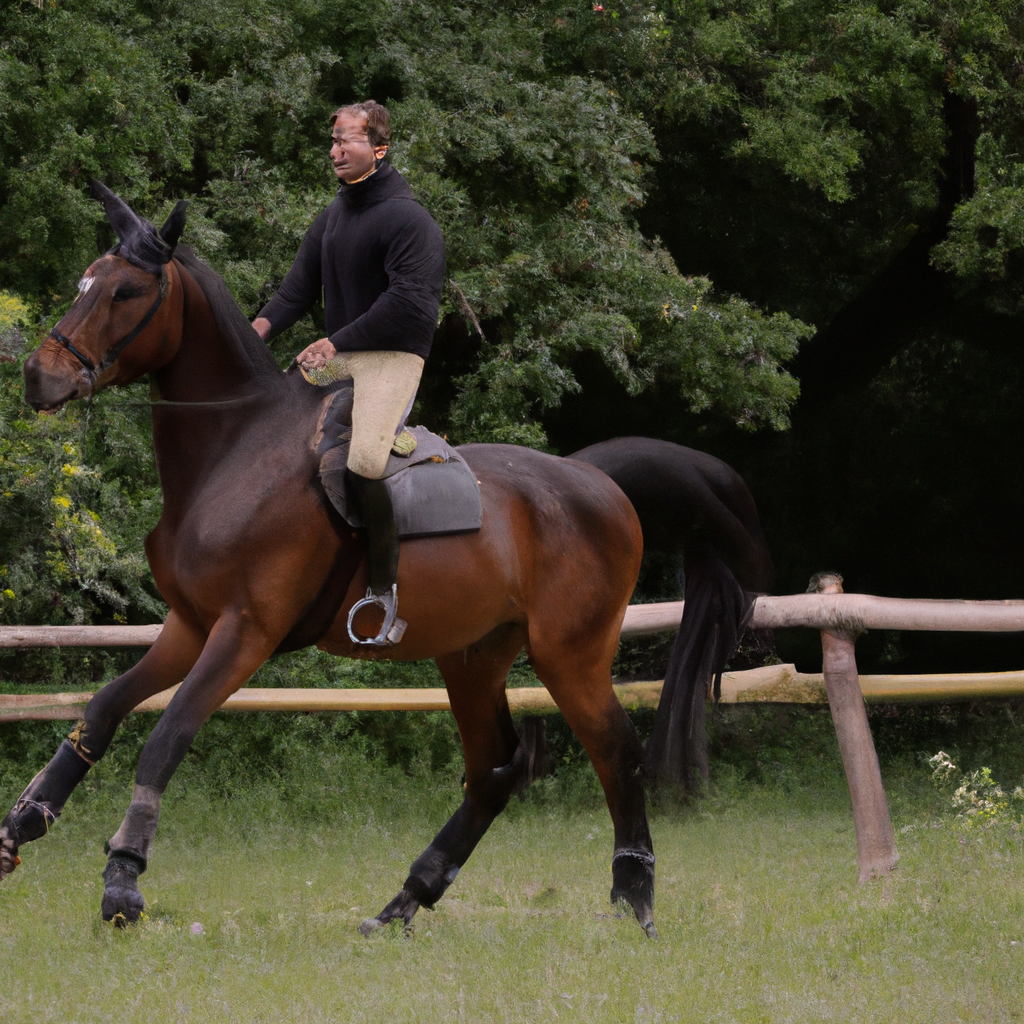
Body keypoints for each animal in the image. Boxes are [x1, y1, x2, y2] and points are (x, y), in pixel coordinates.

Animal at [0, 182, 770, 937]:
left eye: (126, 292)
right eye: (85, 282)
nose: (39, 378)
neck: (234, 449)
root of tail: (596, 482)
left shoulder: (245, 631)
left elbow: (165, 736)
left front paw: (123, 881)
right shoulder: (189, 626)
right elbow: (101, 712)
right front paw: (22, 823)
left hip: (570, 655)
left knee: (617, 755)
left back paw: (633, 900)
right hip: (474, 657)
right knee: (493, 771)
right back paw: (407, 900)